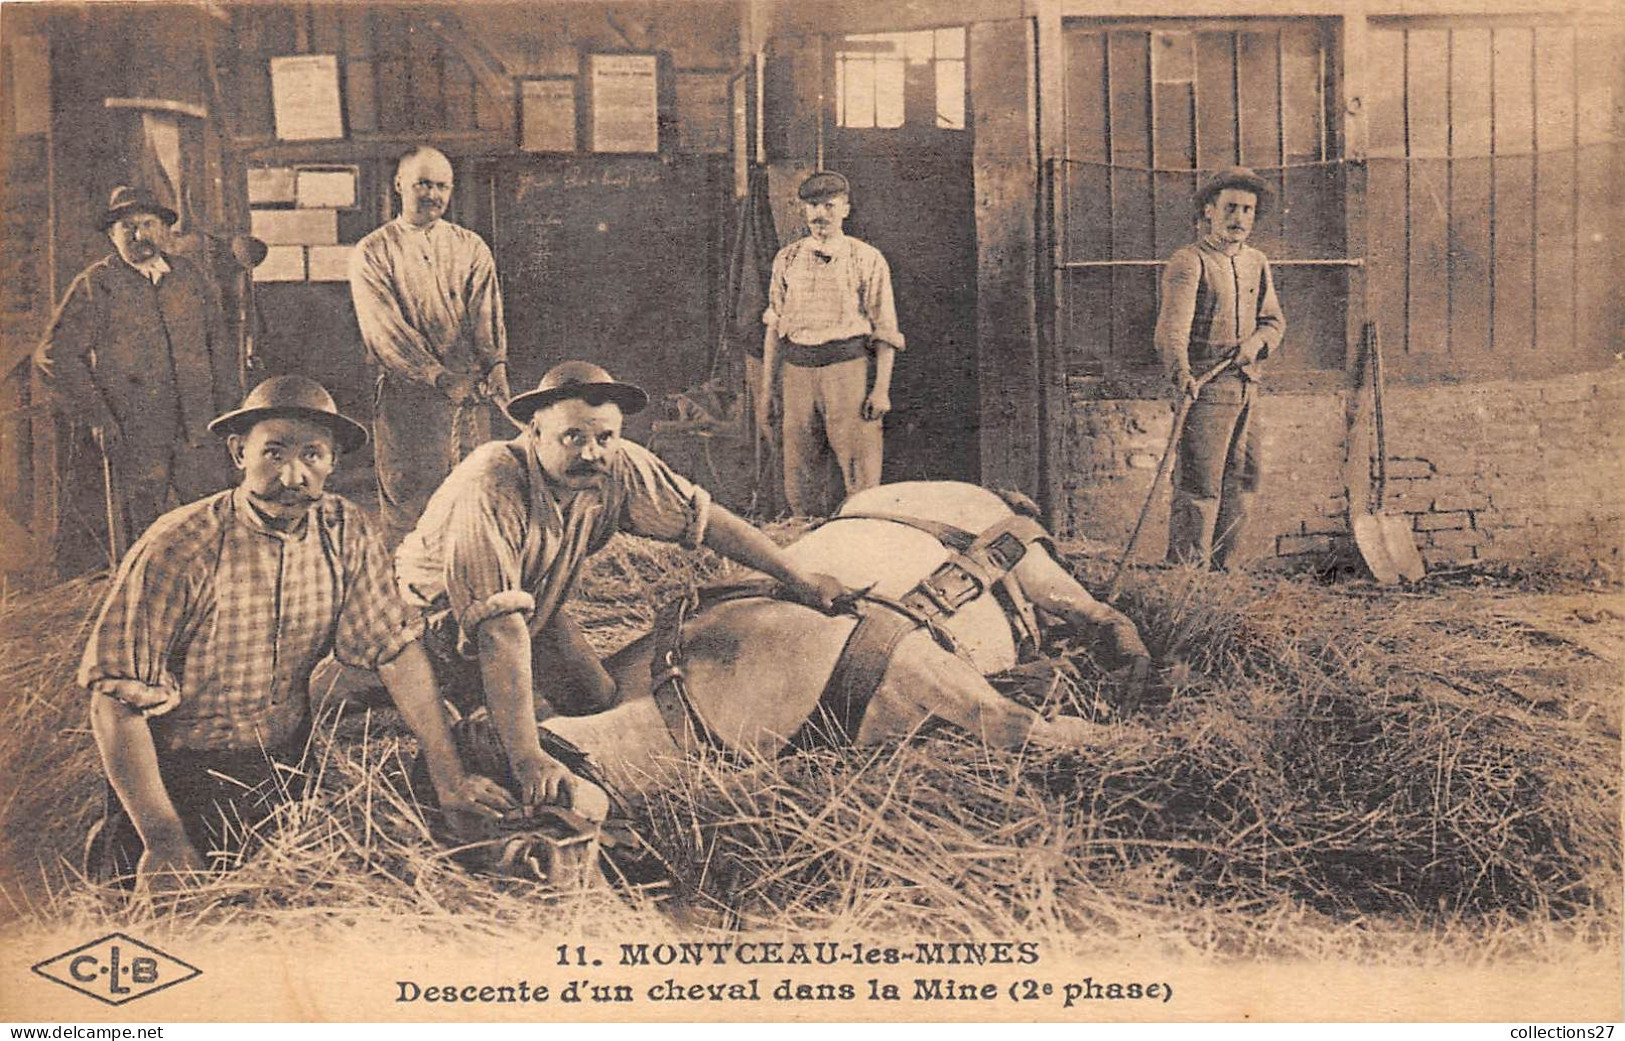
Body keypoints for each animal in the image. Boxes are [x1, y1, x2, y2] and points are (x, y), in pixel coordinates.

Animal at [425, 480, 1150, 876]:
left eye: (520, 836)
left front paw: (1115, 741)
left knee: (1095, 609)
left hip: (1029, 561)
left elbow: (1012, 721)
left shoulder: (909, 653)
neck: (686, 705)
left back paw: (1128, 660)